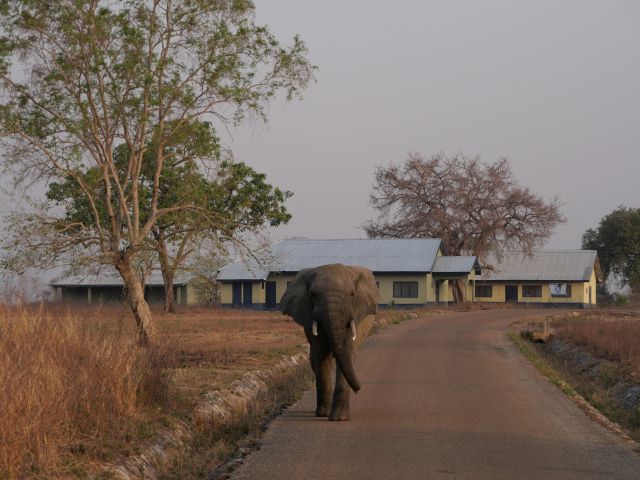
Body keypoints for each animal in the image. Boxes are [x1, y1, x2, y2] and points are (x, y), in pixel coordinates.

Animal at [280, 263, 378, 421]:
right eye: (312, 295)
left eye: (352, 294)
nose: (359, 388)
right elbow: (321, 354)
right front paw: (323, 414)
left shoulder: (355, 315)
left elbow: (347, 352)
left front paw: (339, 418)